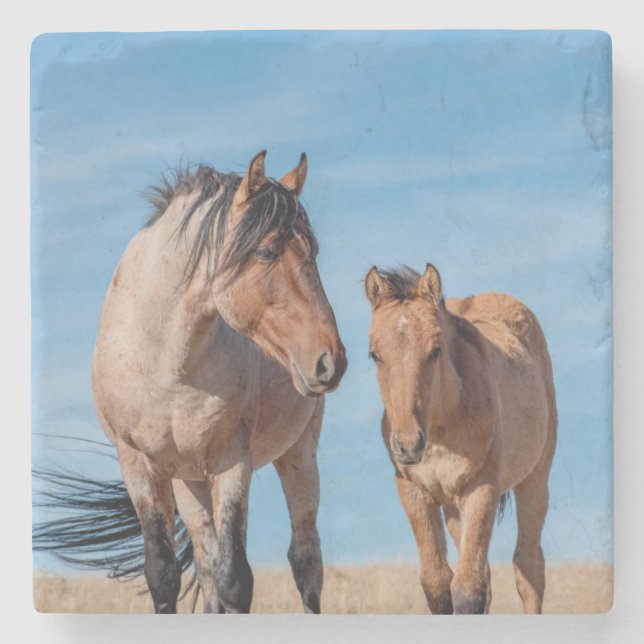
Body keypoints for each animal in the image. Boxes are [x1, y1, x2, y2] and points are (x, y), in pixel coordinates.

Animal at [90, 151, 347, 613]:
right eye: (266, 251)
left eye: (313, 250)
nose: (330, 360)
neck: (167, 363)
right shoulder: (138, 464)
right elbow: (165, 575)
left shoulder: (231, 461)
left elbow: (236, 580)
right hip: (189, 480)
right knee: (207, 567)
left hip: (298, 454)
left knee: (305, 561)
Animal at [364, 263, 557, 614]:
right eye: (375, 354)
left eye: (436, 350)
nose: (408, 444)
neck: (442, 428)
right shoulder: (413, 491)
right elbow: (438, 583)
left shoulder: (482, 488)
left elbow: (468, 587)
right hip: (453, 507)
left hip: (535, 478)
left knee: (529, 568)